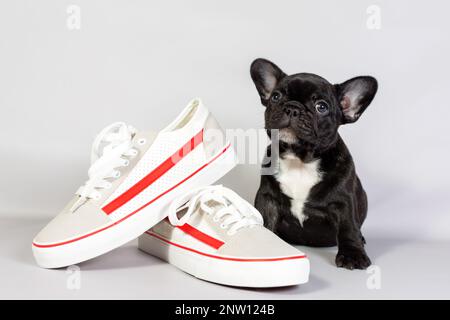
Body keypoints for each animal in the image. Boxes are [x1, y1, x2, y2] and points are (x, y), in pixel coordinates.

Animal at [251, 58, 378, 270]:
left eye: (321, 107)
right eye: (276, 96)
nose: (292, 108)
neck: (299, 160)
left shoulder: (343, 202)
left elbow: (348, 227)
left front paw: (352, 254)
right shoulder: (267, 198)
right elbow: (265, 220)